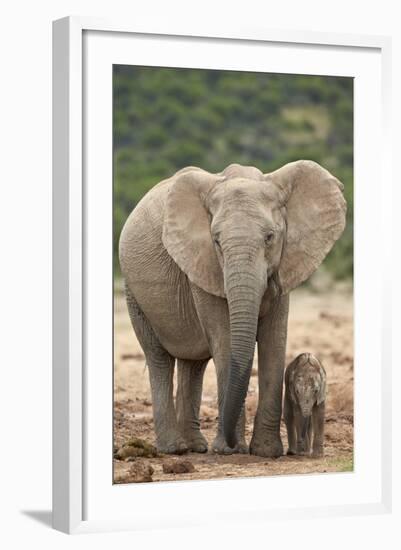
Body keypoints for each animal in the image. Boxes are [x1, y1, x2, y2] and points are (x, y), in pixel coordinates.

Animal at [118, 162, 344, 460]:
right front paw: (230, 450)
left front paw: (266, 452)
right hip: (133, 292)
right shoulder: (202, 263)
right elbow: (225, 339)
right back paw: (175, 449)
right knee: (159, 358)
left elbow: (274, 339)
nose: (233, 443)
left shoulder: (284, 264)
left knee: (193, 363)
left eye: (270, 237)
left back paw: (196, 446)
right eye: (216, 241)